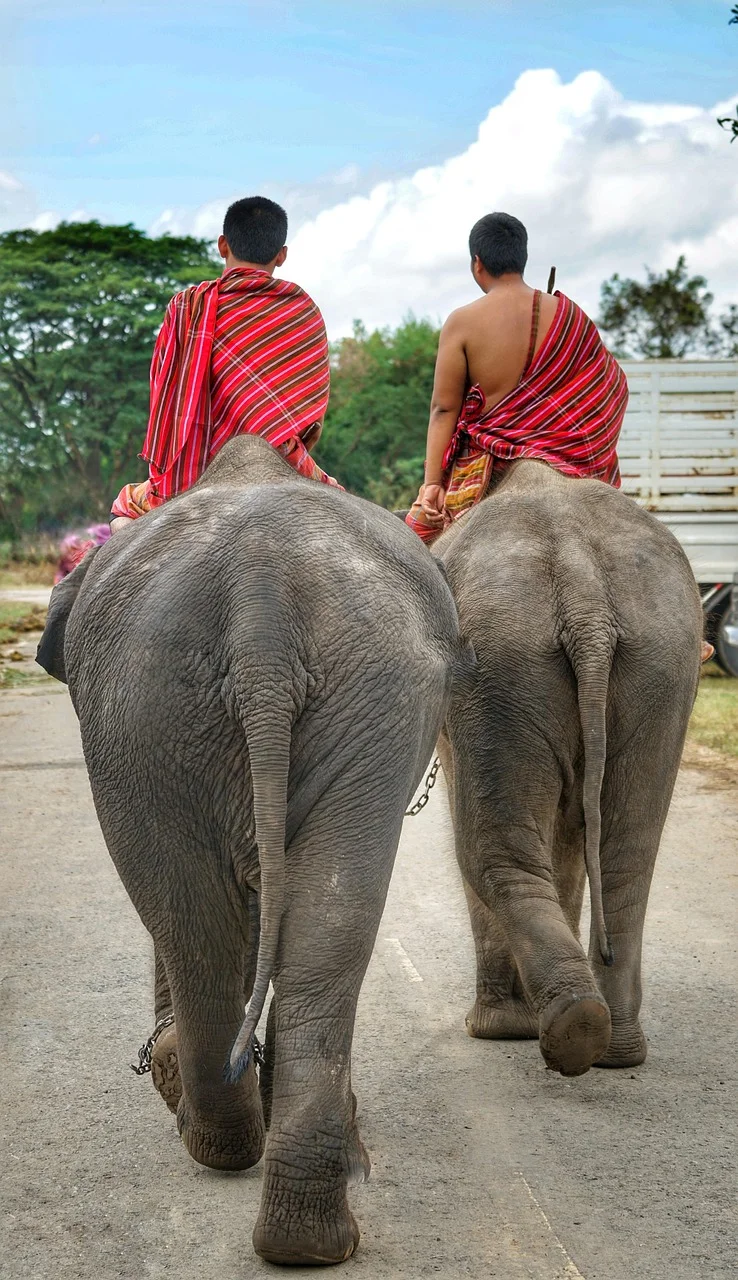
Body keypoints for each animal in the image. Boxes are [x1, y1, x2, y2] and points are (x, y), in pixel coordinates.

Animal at [37, 435, 468, 1265]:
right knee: (306, 928)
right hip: (231, 704)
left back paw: (232, 1152)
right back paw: (301, 1226)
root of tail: (259, 599)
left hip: (165, 712)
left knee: (199, 922)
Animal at [433, 460, 702, 1077]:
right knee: (627, 853)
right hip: (660, 657)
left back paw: (553, 1029)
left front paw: (502, 1029)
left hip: (499, 663)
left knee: (487, 848)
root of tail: (585, 597)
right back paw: (610, 1045)